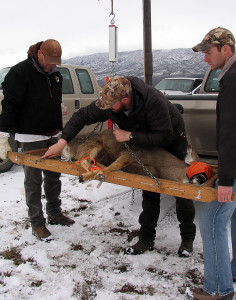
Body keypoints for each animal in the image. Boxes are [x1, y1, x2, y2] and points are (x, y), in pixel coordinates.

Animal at [61, 129, 213, 185]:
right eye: (197, 165)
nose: (201, 179)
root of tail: (69, 144)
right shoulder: (130, 153)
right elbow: (116, 164)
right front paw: (85, 176)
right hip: (93, 143)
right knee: (82, 160)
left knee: (89, 161)